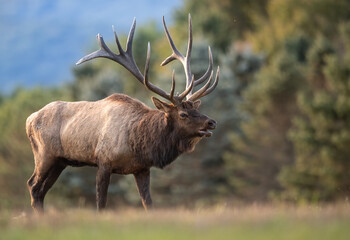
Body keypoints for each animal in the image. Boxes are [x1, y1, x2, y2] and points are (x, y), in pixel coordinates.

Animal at [26, 15, 219, 213]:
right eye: (182, 114)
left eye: (196, 109)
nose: (211, 122)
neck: (140, 142)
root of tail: (30, 119)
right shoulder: (103, 161)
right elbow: (101, 204)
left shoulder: (142, 168)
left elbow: (148, 204)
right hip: (44, 154)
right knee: (33, 185)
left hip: (60, 161)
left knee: (41, 191)